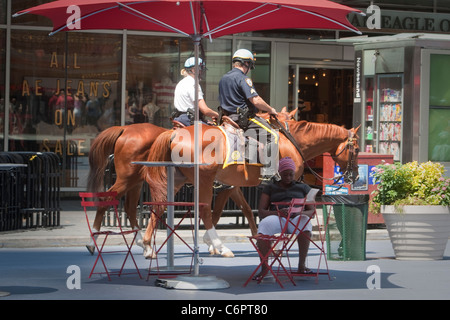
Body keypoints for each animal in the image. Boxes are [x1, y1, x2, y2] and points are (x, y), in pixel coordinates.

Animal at [142, 119, 360, 258]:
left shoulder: (234, 186)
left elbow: (244, 210)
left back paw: (147, 246)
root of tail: (174, 133)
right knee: (202, 210)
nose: (355, 176)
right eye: (357, 149)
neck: (292, 143)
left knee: (159, 206)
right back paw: (221, 247)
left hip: (178, 180)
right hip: (203, 180)